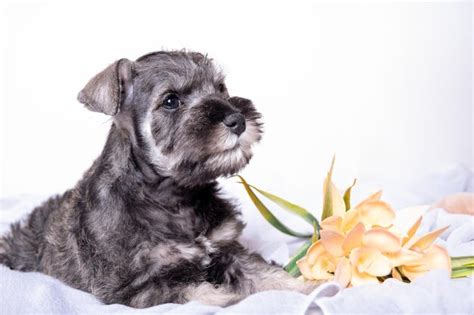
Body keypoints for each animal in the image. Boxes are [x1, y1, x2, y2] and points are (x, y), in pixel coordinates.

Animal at [1, 50, 318, 308]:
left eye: (220, 88)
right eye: (171, 101)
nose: (237, 119)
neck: (173, 196)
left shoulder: (229, 250)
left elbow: (267, 273)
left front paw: (307, 287)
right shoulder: (136, 286)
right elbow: (202, 292)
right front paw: (232, 299)